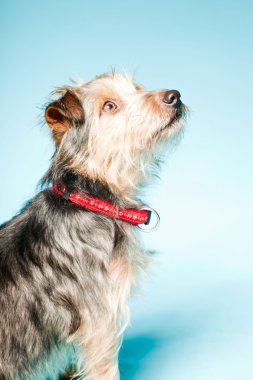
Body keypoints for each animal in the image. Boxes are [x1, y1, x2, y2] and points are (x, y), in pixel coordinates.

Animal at [0, 72, 186, 378]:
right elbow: (105, 369)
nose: (174, 96)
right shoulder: (100, 321)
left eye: (137, 88)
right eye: (109, 106)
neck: (91, 199)